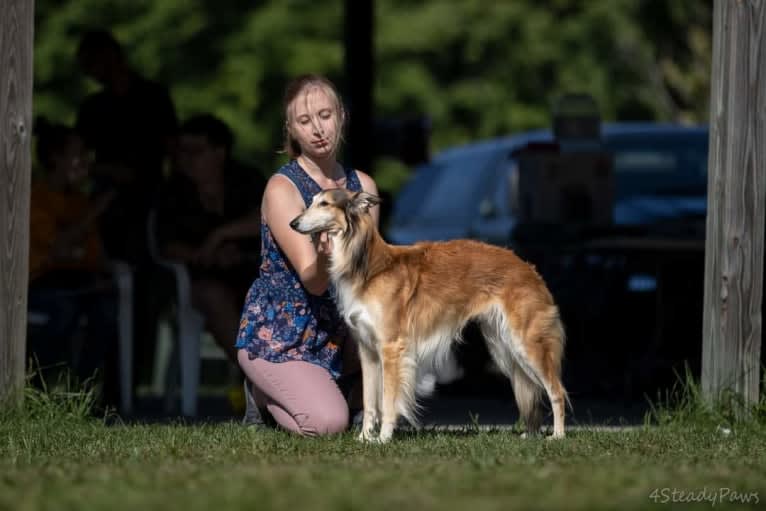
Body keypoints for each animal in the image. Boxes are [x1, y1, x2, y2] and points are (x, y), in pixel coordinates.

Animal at [292, 190, 568, 442]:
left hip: (526, 343)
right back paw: (531, 434)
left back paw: (557, 435)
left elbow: (388, 401)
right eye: (312, 201)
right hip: (503, 344)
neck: (371, 270)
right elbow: (370, 402)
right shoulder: (367, 350)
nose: (293, 223)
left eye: (324, 203)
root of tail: (528, 269)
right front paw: (363, 438)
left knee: (556, 390)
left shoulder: (391, 348)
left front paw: (383, 438)